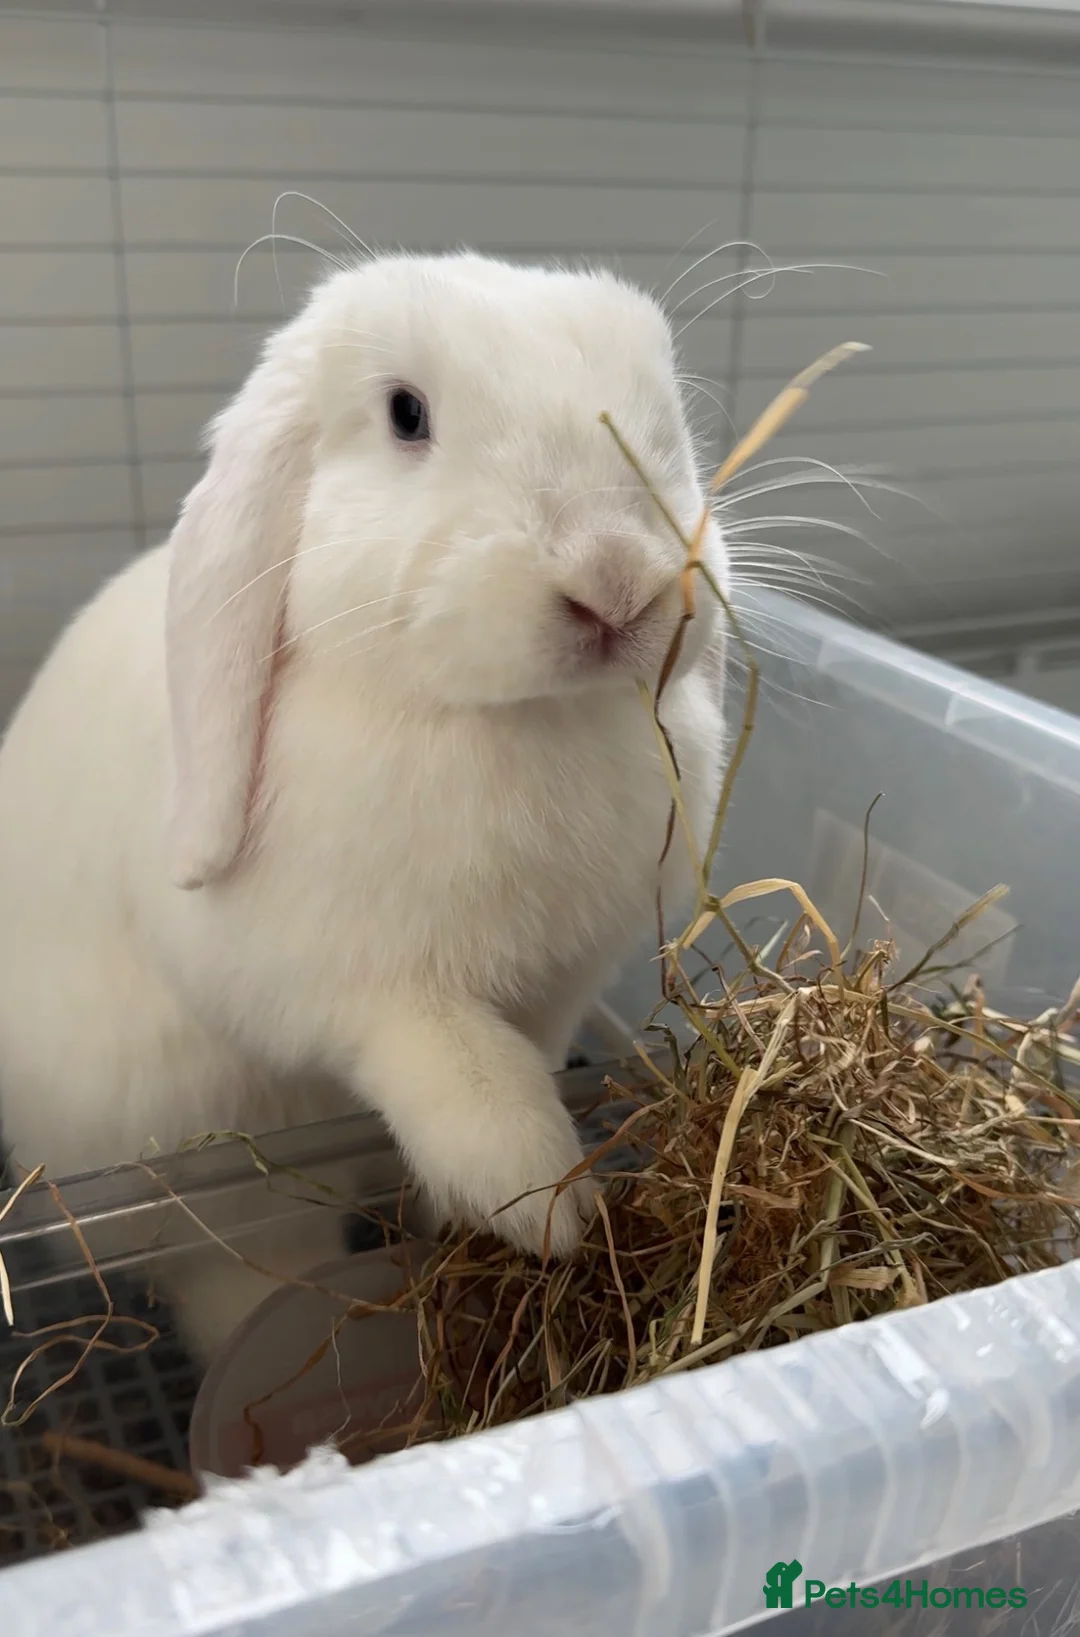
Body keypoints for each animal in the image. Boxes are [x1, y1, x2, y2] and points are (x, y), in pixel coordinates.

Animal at [0, 251, 727, 1363]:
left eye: (669, 408)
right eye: (405, 414)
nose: (615, 580)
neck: (512, 721)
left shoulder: (559, 984)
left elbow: (531, 1051)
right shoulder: (363, 990)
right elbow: (464, 1074)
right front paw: (547, 1212)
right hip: (217, 1172)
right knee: (242, 1276)